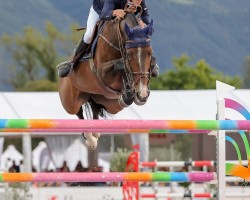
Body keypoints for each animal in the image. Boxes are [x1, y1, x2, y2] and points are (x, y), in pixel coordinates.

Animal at [58, 9, 154, 150]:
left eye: (149, 53)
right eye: (130, 54)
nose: (142, 94)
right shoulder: (103, 72)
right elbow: (120, 64)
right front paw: (129, 91)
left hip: (107, 103)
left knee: (95, 109)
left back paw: (96, 132)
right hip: (70, 102)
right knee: (79, 113)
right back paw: (90, 139)